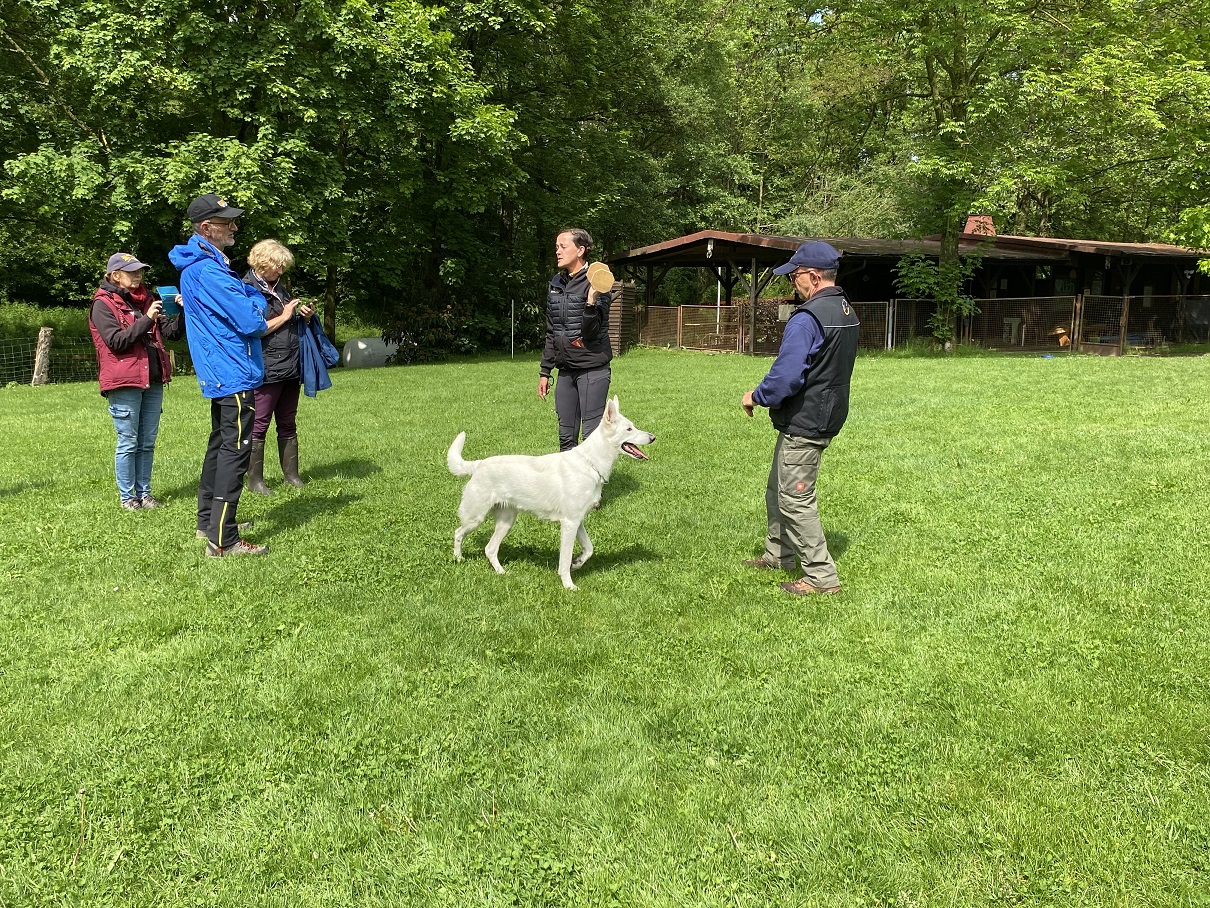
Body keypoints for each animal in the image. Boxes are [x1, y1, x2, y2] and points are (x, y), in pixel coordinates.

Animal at [447, 396, 654, 590]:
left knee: (489, 549)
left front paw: (577, 563)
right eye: (629, 429)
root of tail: (479, 464)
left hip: (506, 522)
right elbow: (564, 559)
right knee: (458, 533)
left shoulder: (577, 521)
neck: (590, 463)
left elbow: (589, 549)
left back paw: (501, 572)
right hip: (476, 518)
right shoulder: (569, 523)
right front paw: (568, 585)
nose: (653, 437)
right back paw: (458, 559)